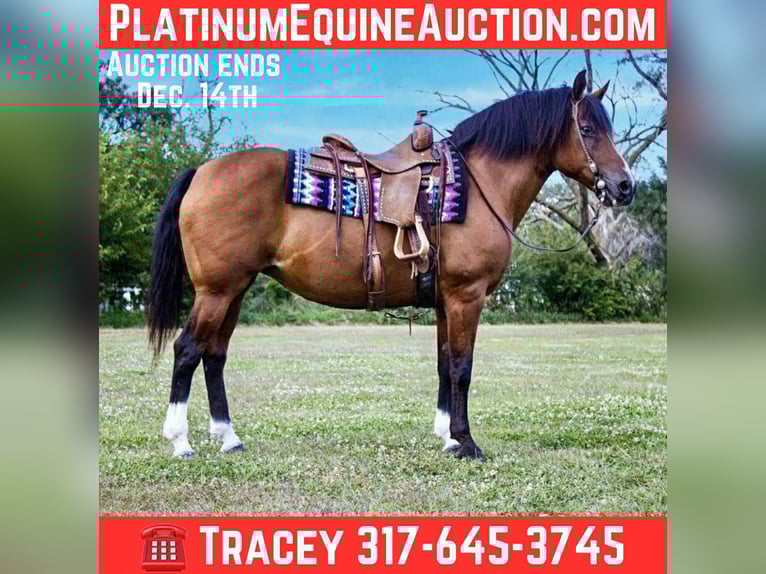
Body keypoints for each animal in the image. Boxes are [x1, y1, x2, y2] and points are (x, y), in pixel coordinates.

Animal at [146, 71, 634, 460]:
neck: (478, 185)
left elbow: (444, 364)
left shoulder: (445, 301)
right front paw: (467, 443)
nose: (625, 186)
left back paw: (229, 438)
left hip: (235, 289)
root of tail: (202, 171)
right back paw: (180, 440)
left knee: (214, 355)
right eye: (587, 128)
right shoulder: (466, 296)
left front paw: (447, 436)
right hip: (217, 291)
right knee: (187, 351)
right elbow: (462, 368)